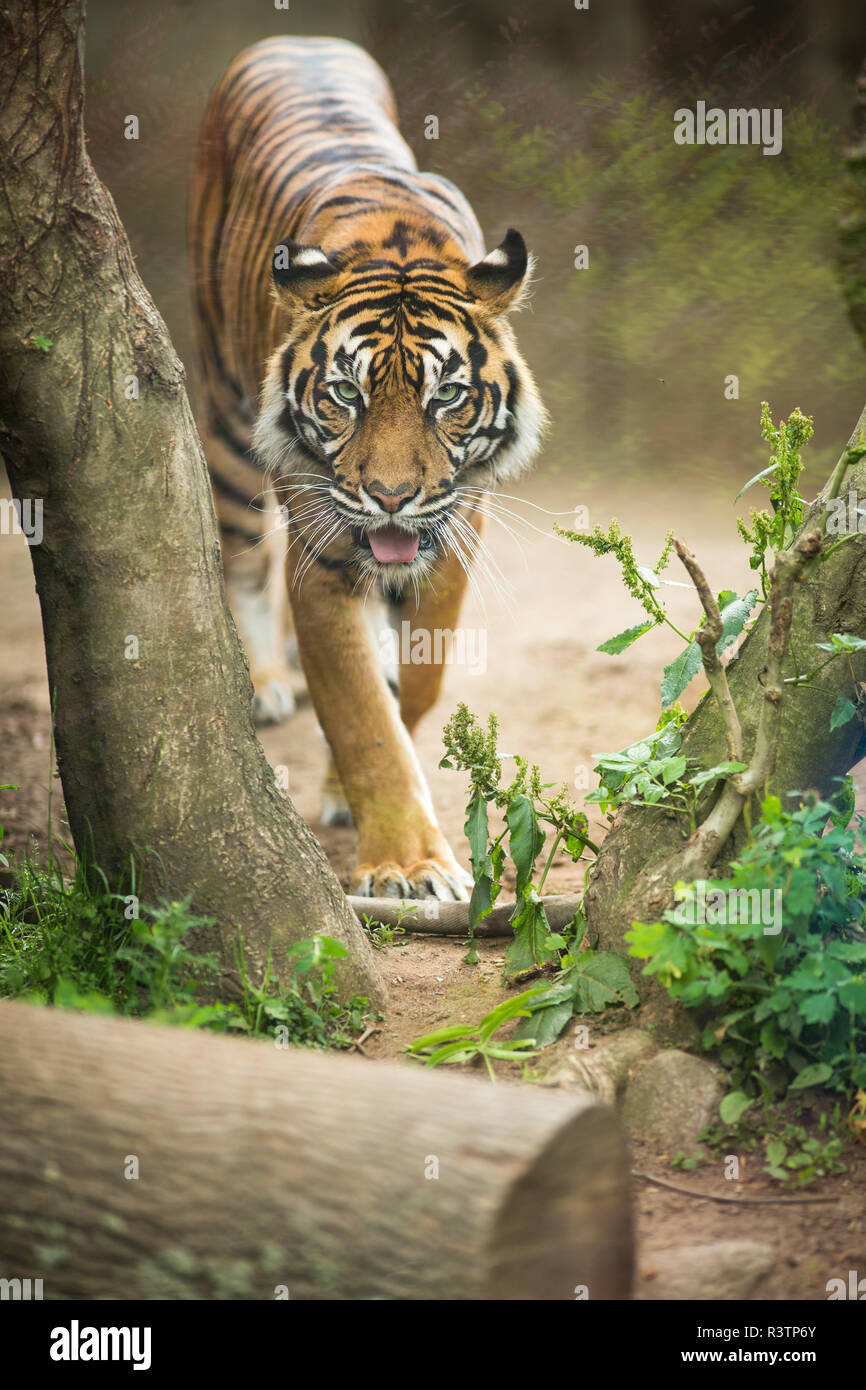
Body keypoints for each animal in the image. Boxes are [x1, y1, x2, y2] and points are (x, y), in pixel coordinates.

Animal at [189, 38, 544, 900]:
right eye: (347, 393)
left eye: (446, 395)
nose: (390, 498)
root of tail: (297, 39)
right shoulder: (324, 557)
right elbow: (362, 717)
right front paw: (409, 868)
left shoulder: (454, 538)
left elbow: (412, 686)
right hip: (226, 423)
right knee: (243, 559)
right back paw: (264, 683)